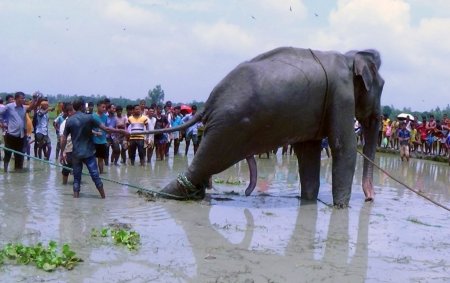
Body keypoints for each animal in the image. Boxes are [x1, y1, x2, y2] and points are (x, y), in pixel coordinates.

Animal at [139, 46, 384, 206]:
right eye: (381, 85)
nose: (370, 199)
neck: (349, 57)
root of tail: (208, 104)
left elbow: (308, 152)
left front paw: (308, 201)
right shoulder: (340, 95)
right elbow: (343, 147)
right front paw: (341, 208)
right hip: (230, 126)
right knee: (209, 160)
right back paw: (162, 196)